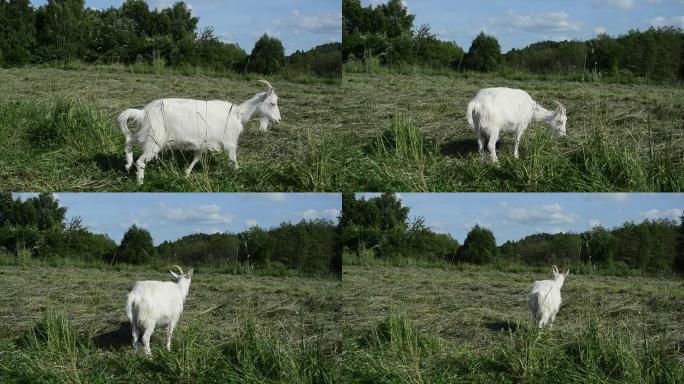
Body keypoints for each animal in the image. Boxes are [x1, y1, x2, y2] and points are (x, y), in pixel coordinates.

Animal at [117, 79, 280, 184]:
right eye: (272, 103)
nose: (278, 120)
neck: (238, 113)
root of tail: (144, 112)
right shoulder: (230, 142)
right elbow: (233, 159)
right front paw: (238, 173)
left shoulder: (203, 142)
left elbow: (196, 157)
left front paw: (186, 173)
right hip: (154, 139)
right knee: (141, 161)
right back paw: (140, 183)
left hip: (146, 134)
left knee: (129, 140)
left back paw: (127, 165)